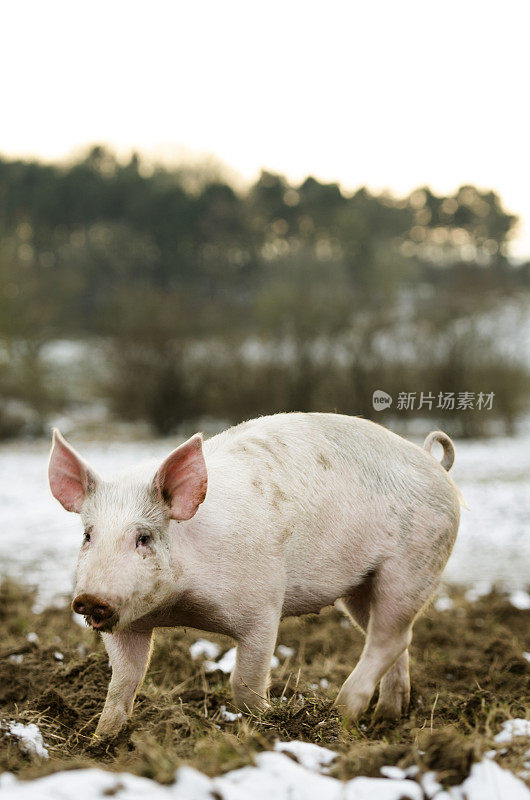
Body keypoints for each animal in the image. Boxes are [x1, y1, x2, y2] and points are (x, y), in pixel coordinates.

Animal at [47, 416, 460, 736]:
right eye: (88, 535)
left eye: (143, 537)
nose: (89, 599)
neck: (179, 607)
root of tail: (432, 461)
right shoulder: (128, 624)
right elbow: (122, 684)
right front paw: (101, 740)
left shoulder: (262, 608)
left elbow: (244, 683)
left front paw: (269, 719)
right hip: (361, 585)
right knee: (397, 638)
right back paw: (386, 717)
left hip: (413, 564)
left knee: (388, 638)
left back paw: (340, 713)